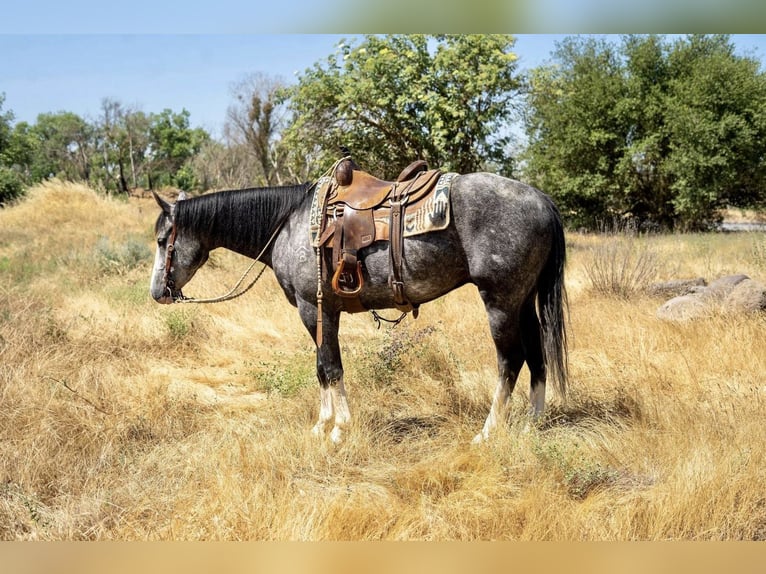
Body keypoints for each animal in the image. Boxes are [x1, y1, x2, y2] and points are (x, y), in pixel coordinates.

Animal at [150, 171, 568, 446]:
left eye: (161, 240)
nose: (157, 292)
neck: (289, 224)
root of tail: (543, 200)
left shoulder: (313, 308)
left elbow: (330, 366)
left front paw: (338, 428)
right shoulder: (320, 313)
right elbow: (321, 368)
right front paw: (322, 424)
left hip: (500, 302)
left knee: (510, 361)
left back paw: (488, 431)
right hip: (522, 301)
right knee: (537, 357)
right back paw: (532, 423)